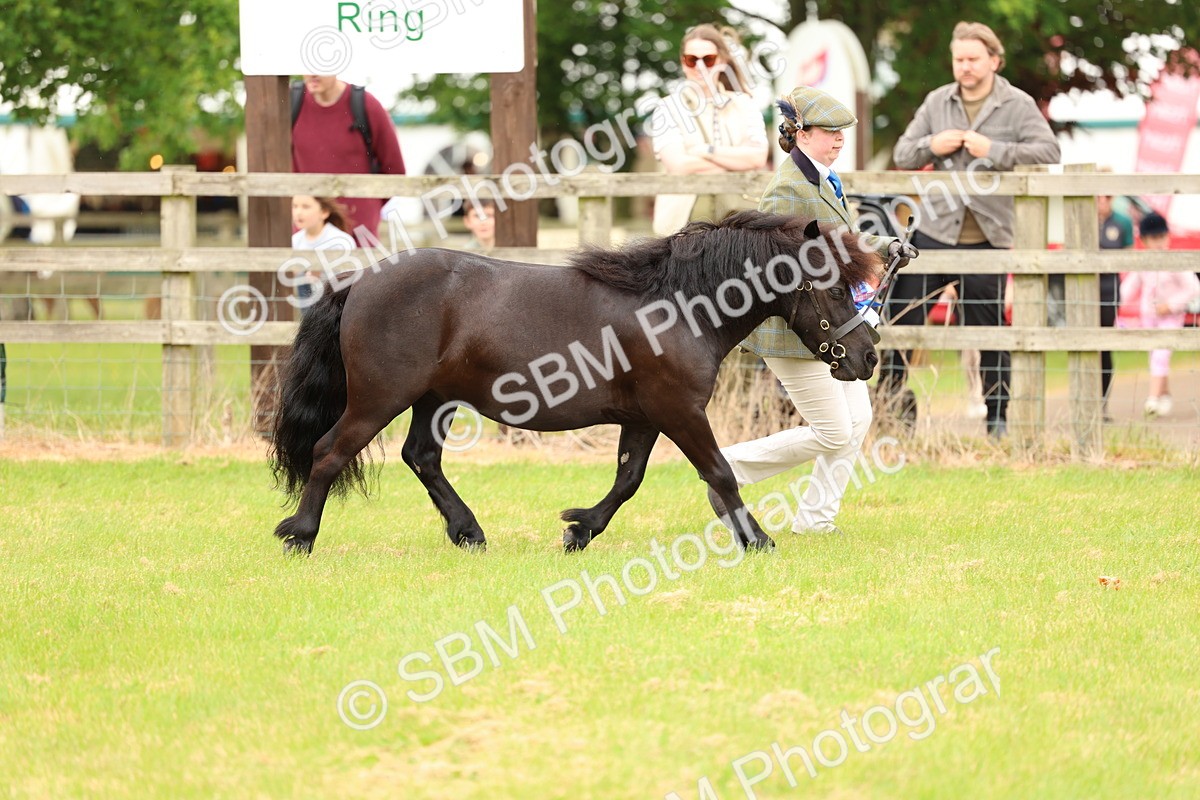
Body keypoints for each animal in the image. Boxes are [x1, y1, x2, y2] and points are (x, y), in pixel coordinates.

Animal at [269, 211, 881, 555]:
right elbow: (721, 474)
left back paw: (468, 532)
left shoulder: (644, 418)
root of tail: (358, 281)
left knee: (421, 457)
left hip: (433, 400)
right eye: (832, 287)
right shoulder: (679, 411)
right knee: (329, 451)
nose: (868, 356)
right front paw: (757, 540)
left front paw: (579, 529)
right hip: (380, 398)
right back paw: (300, 534)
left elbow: (628, 480)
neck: (678, 307)